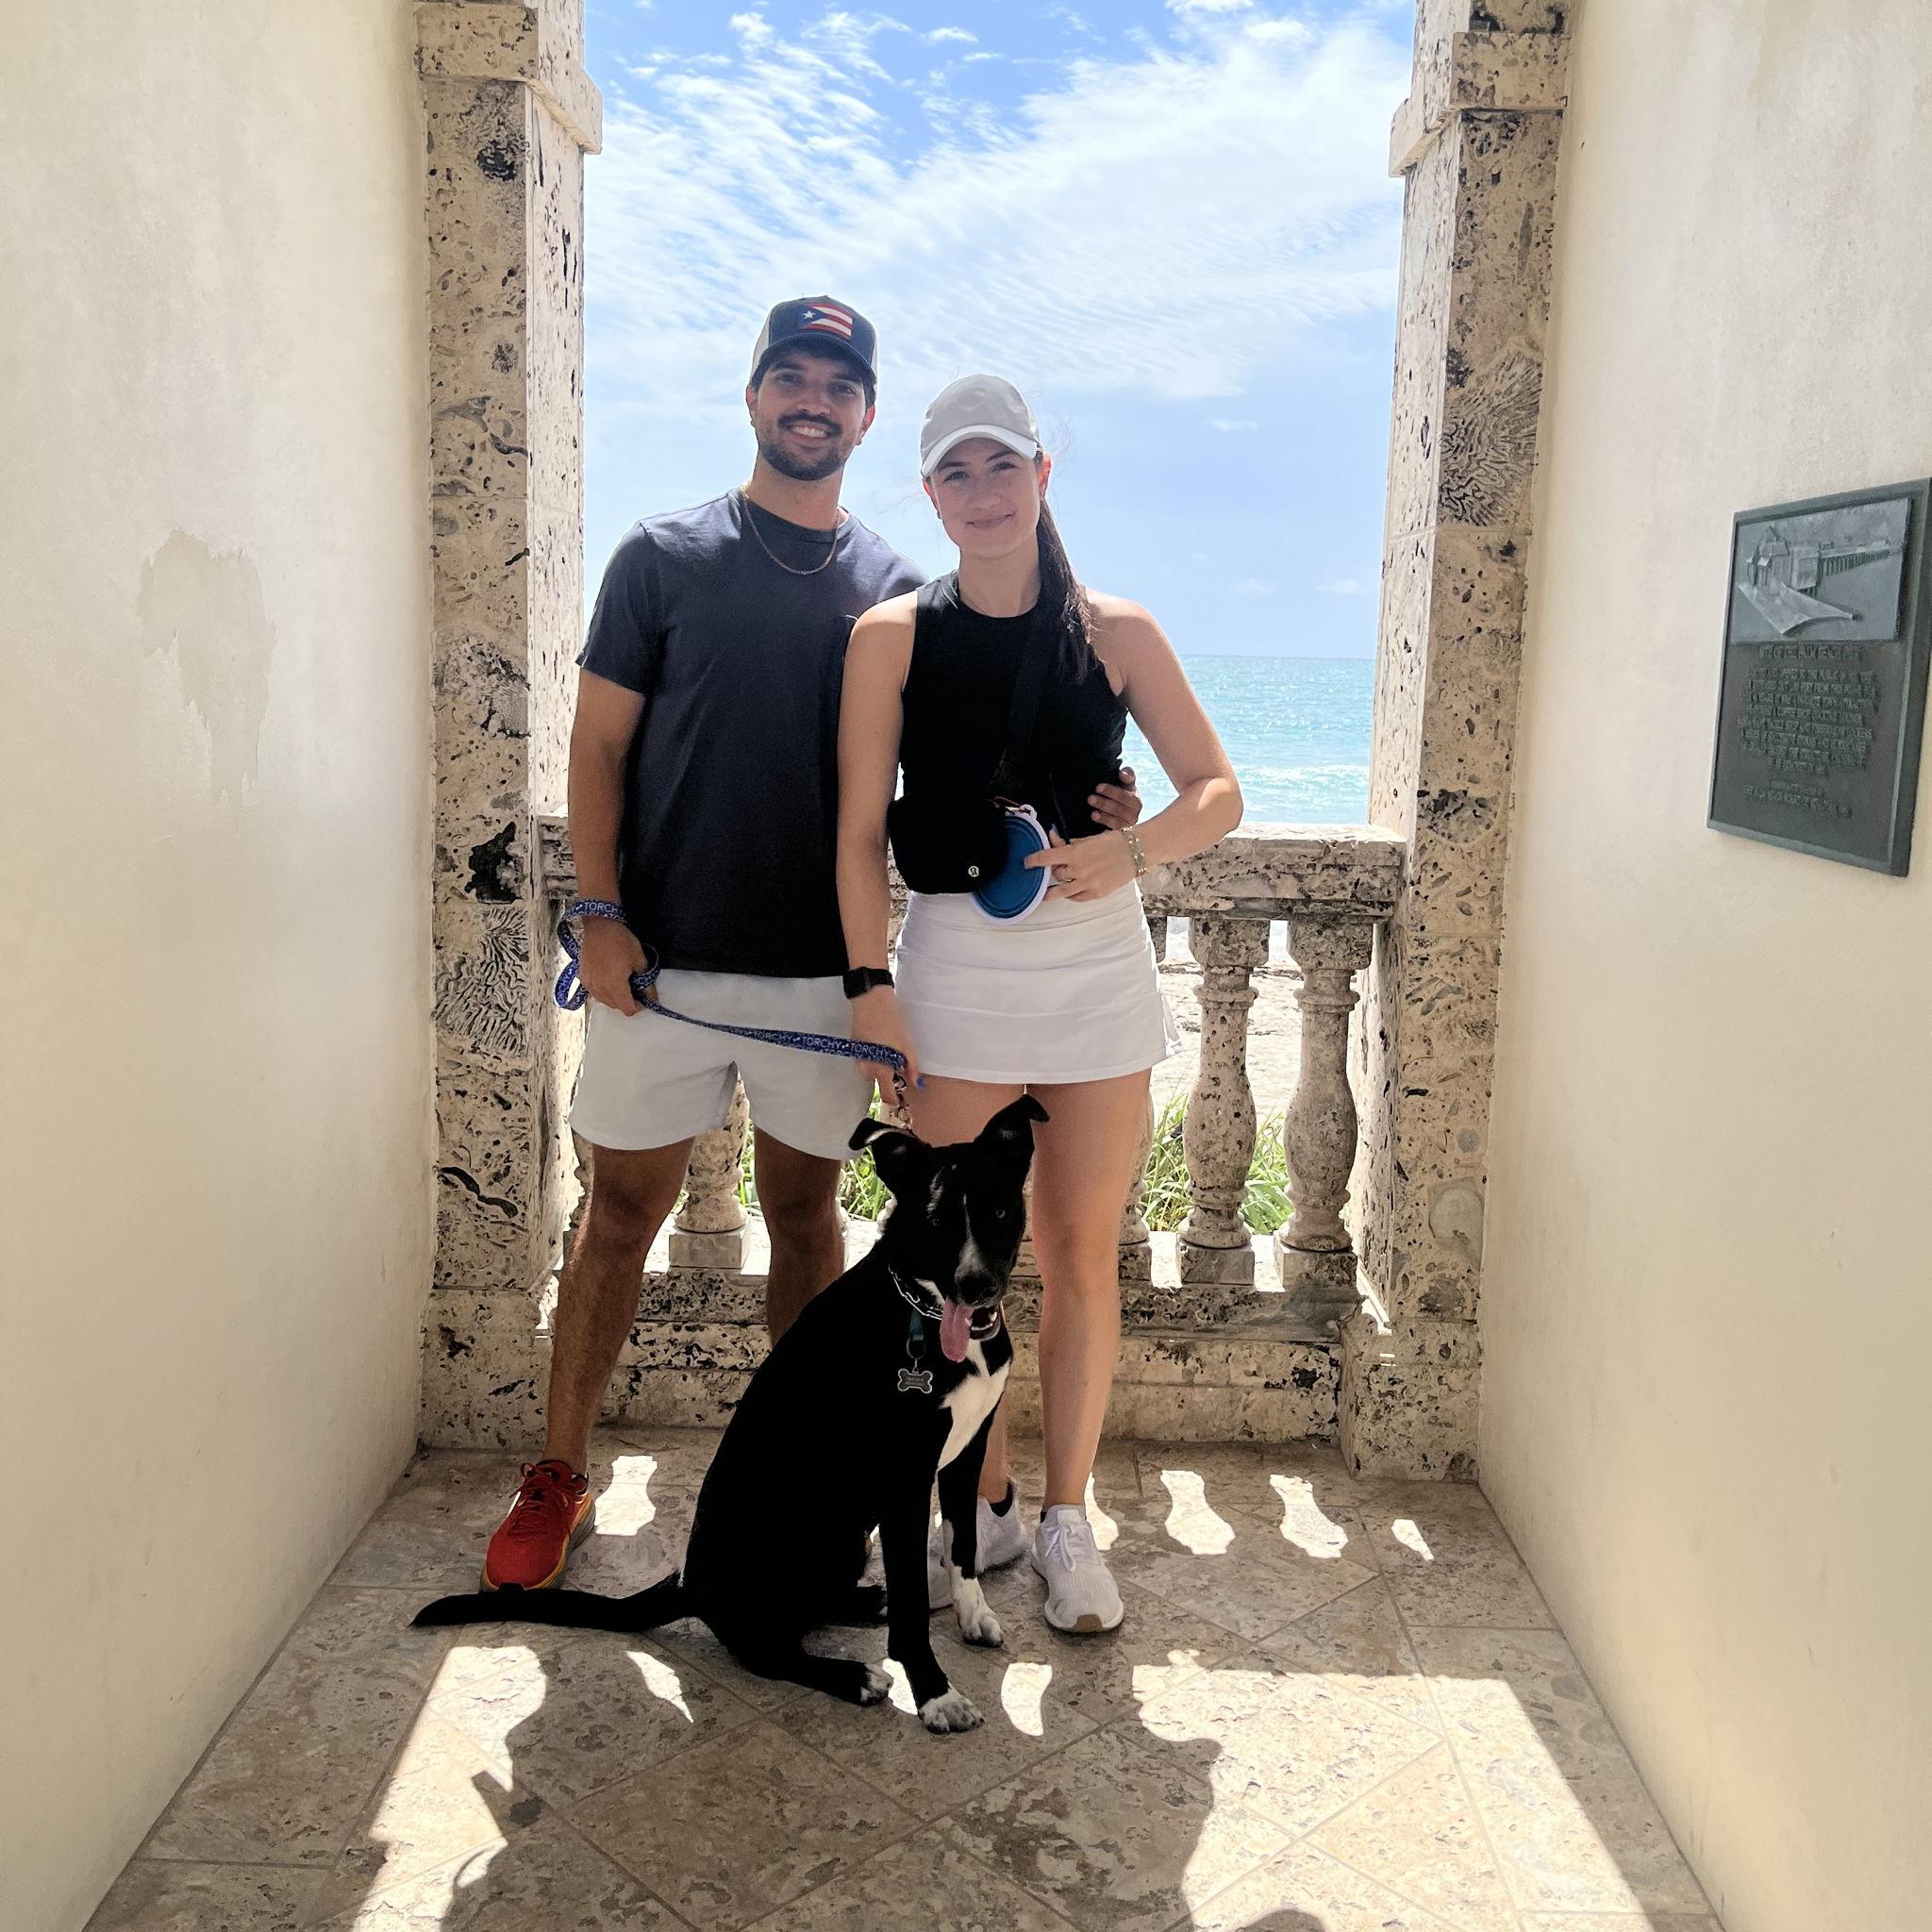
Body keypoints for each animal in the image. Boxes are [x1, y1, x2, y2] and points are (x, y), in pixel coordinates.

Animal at [413, 1095, 1046, 1734]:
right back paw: (852, 1675)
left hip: (845, 1539)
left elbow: (963, 1547)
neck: (925, 1314)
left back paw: (869, 1600)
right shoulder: (903, 1483)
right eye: (937, 1222)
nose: (976, 1287)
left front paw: (973, 1617)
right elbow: (915, 1606)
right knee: (762, 1648)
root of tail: (689, 1584)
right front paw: (936, 1694)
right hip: (815, 1536)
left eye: (998, 1210)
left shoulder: (966, 1452)